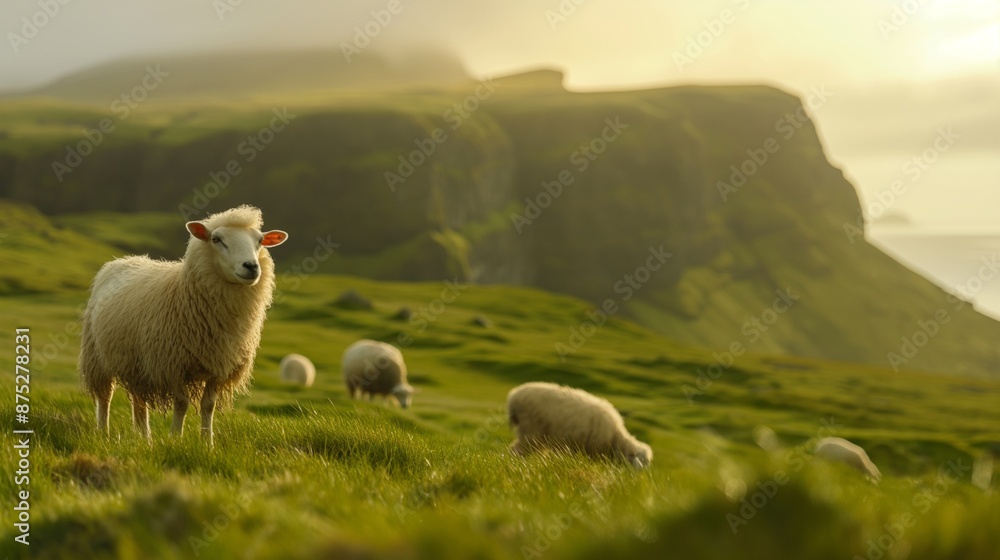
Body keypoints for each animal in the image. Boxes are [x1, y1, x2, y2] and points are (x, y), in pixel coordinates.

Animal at [78, 205, 287, 445]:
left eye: (260, 240)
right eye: (216, 239)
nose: (251, 266)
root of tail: (122, 261)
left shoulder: (218, 365)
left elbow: (208, 405)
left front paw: (208, 443)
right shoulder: (171, 364)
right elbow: (182, 404)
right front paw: (175, 439)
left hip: (138, 362)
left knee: (139, 401)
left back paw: (145, 439)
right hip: (96, 356)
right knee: (105, 398)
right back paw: (103, 433)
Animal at [506, 381, 652, 469]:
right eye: (640, 461)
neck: (616, 438)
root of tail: (513, 397)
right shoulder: (594, 450)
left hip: (537, 436)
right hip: (531, 430)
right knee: (516, 451)